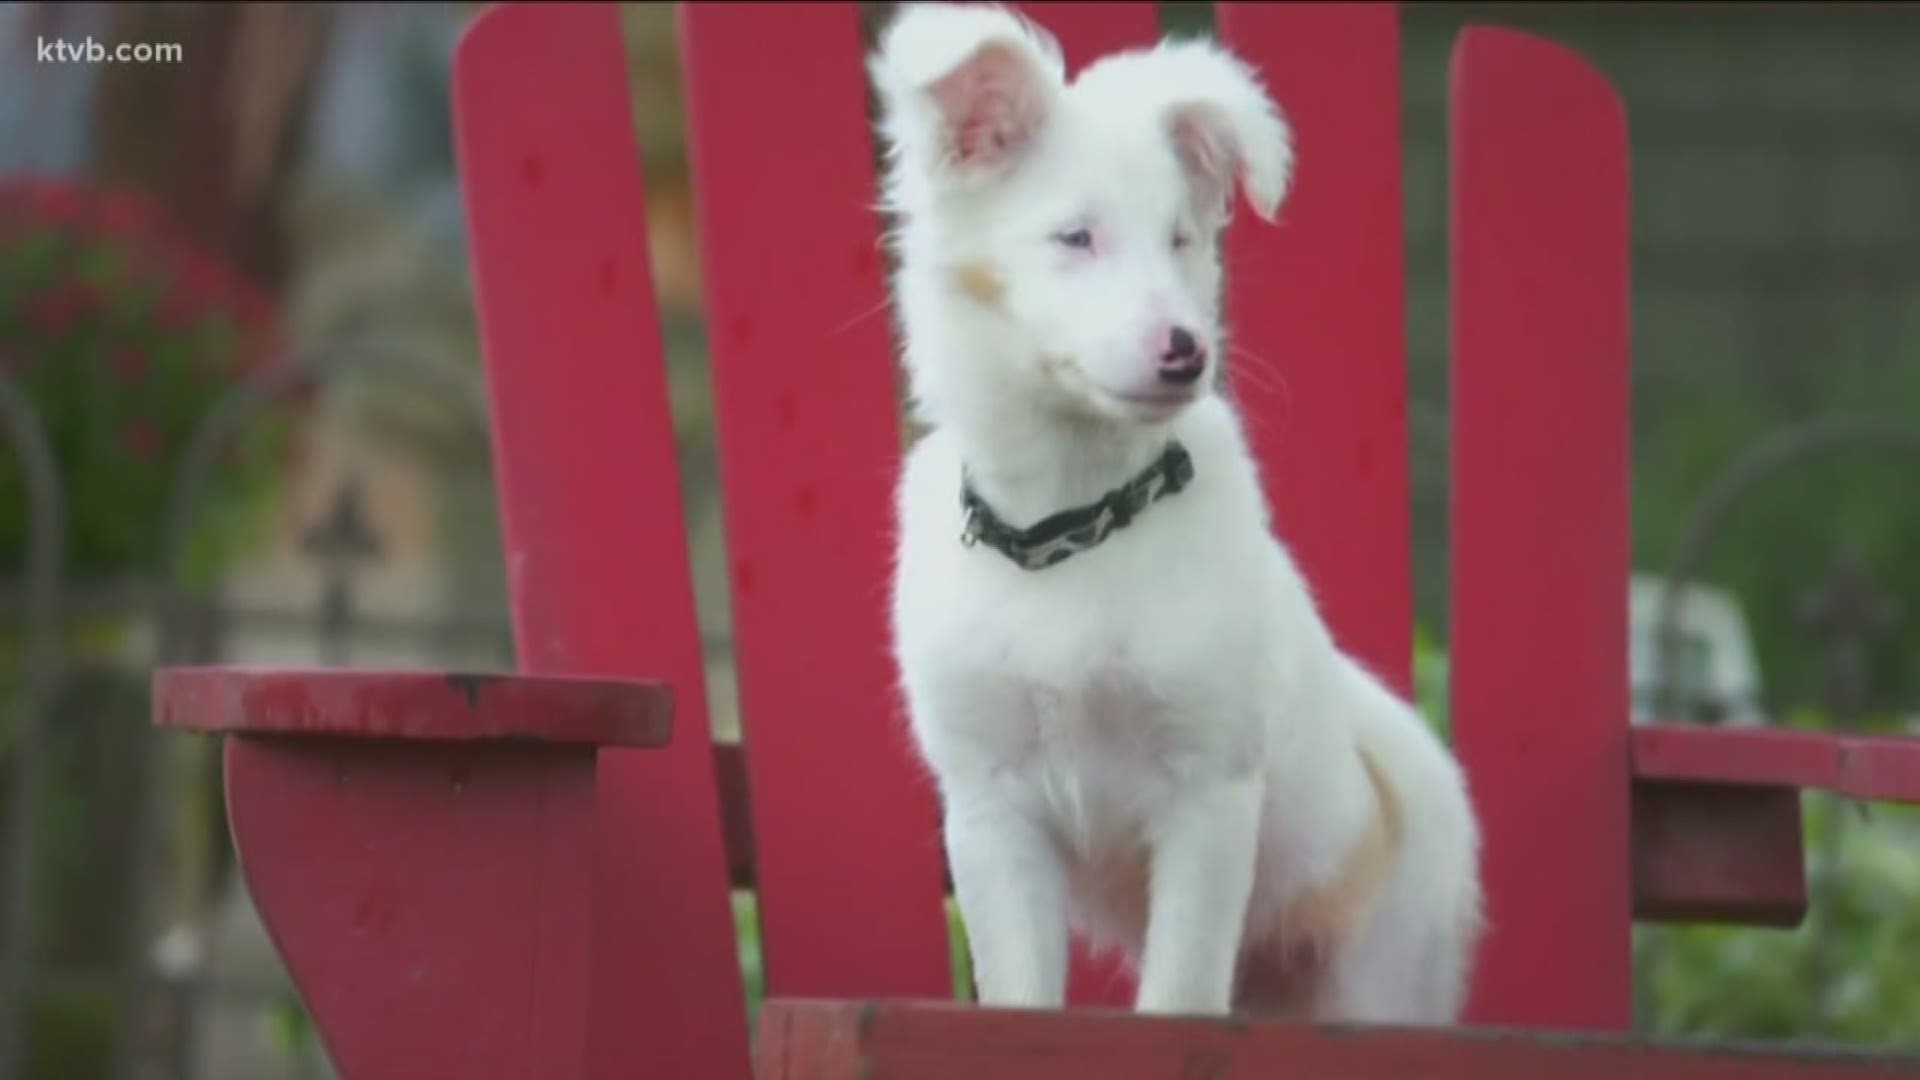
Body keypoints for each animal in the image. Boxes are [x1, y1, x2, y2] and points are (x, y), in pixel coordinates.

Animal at [871, 4, 1482, 1022]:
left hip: (1384, 972)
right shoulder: (991, 808)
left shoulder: (1208, 791)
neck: (1073, 532)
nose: (1186, 351)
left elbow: (1181, 994)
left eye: (1182, 241)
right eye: (1076, 238)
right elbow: (1021, 992)